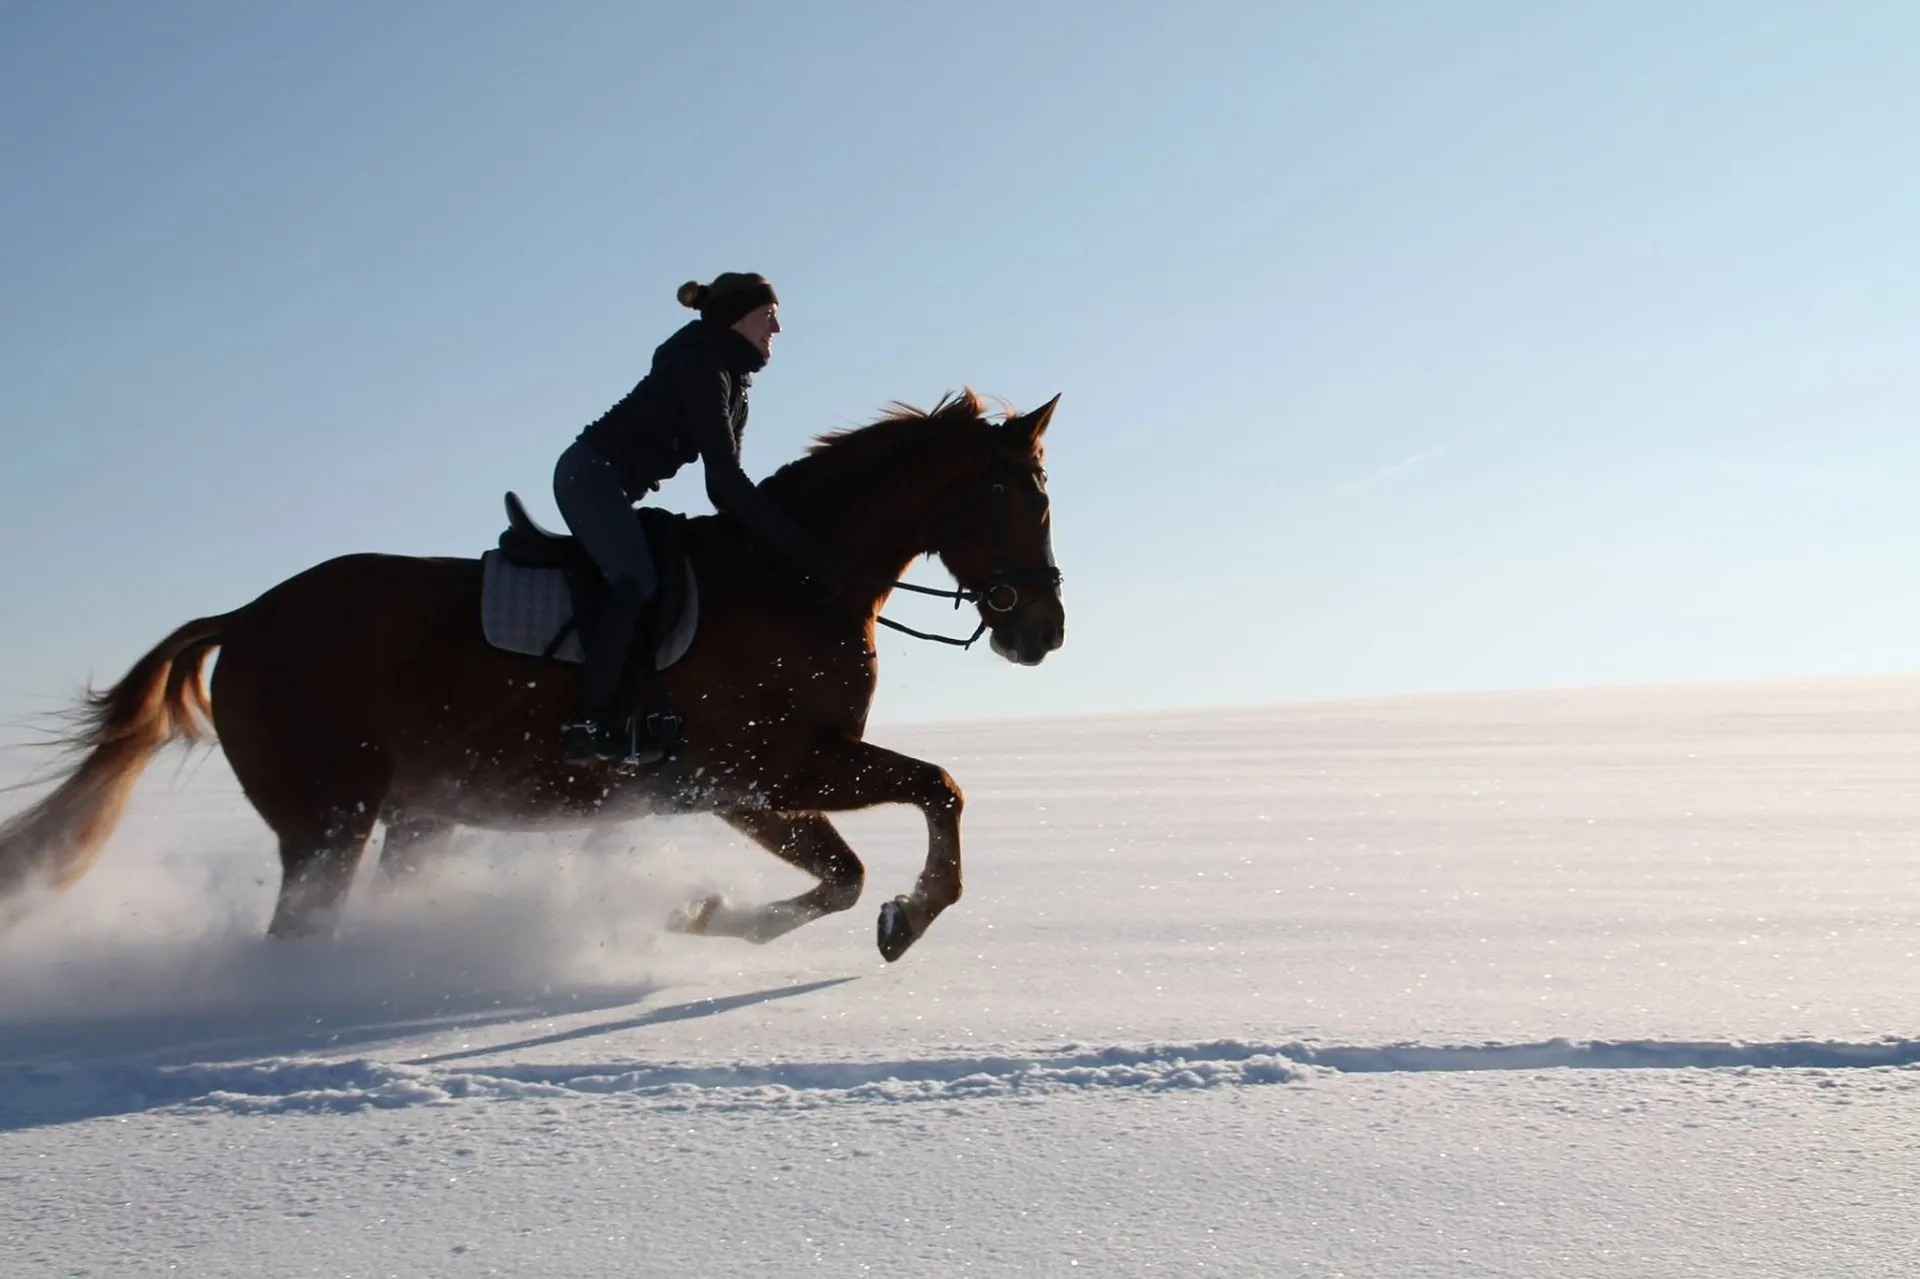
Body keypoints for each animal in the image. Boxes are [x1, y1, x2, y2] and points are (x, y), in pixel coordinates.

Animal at [0, 390, 1065, 961]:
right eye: (1027, 499)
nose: (1044, 632)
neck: (794, 576)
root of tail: (248, 617)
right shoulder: (760, 771)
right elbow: (938, 790)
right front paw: (907, 915)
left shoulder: (753, 785)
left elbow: (843, 874)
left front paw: (704, 916)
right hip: (328, 821)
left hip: (416, 815)